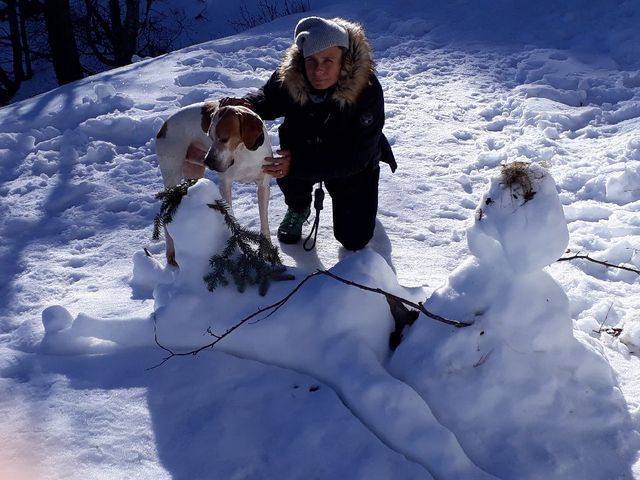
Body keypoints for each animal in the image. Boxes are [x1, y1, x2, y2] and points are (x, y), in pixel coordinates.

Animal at [158, 102, 276, 266]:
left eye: (224, 138)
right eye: (210, 137)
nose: (207, 161)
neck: (245, 152)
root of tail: (164, 126)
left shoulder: (263, 186)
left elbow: (264, 219)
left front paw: (267, 249)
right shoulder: (225, 184)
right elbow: (231, 216)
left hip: (194, 173)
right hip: (172, 176)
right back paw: (172, 251)